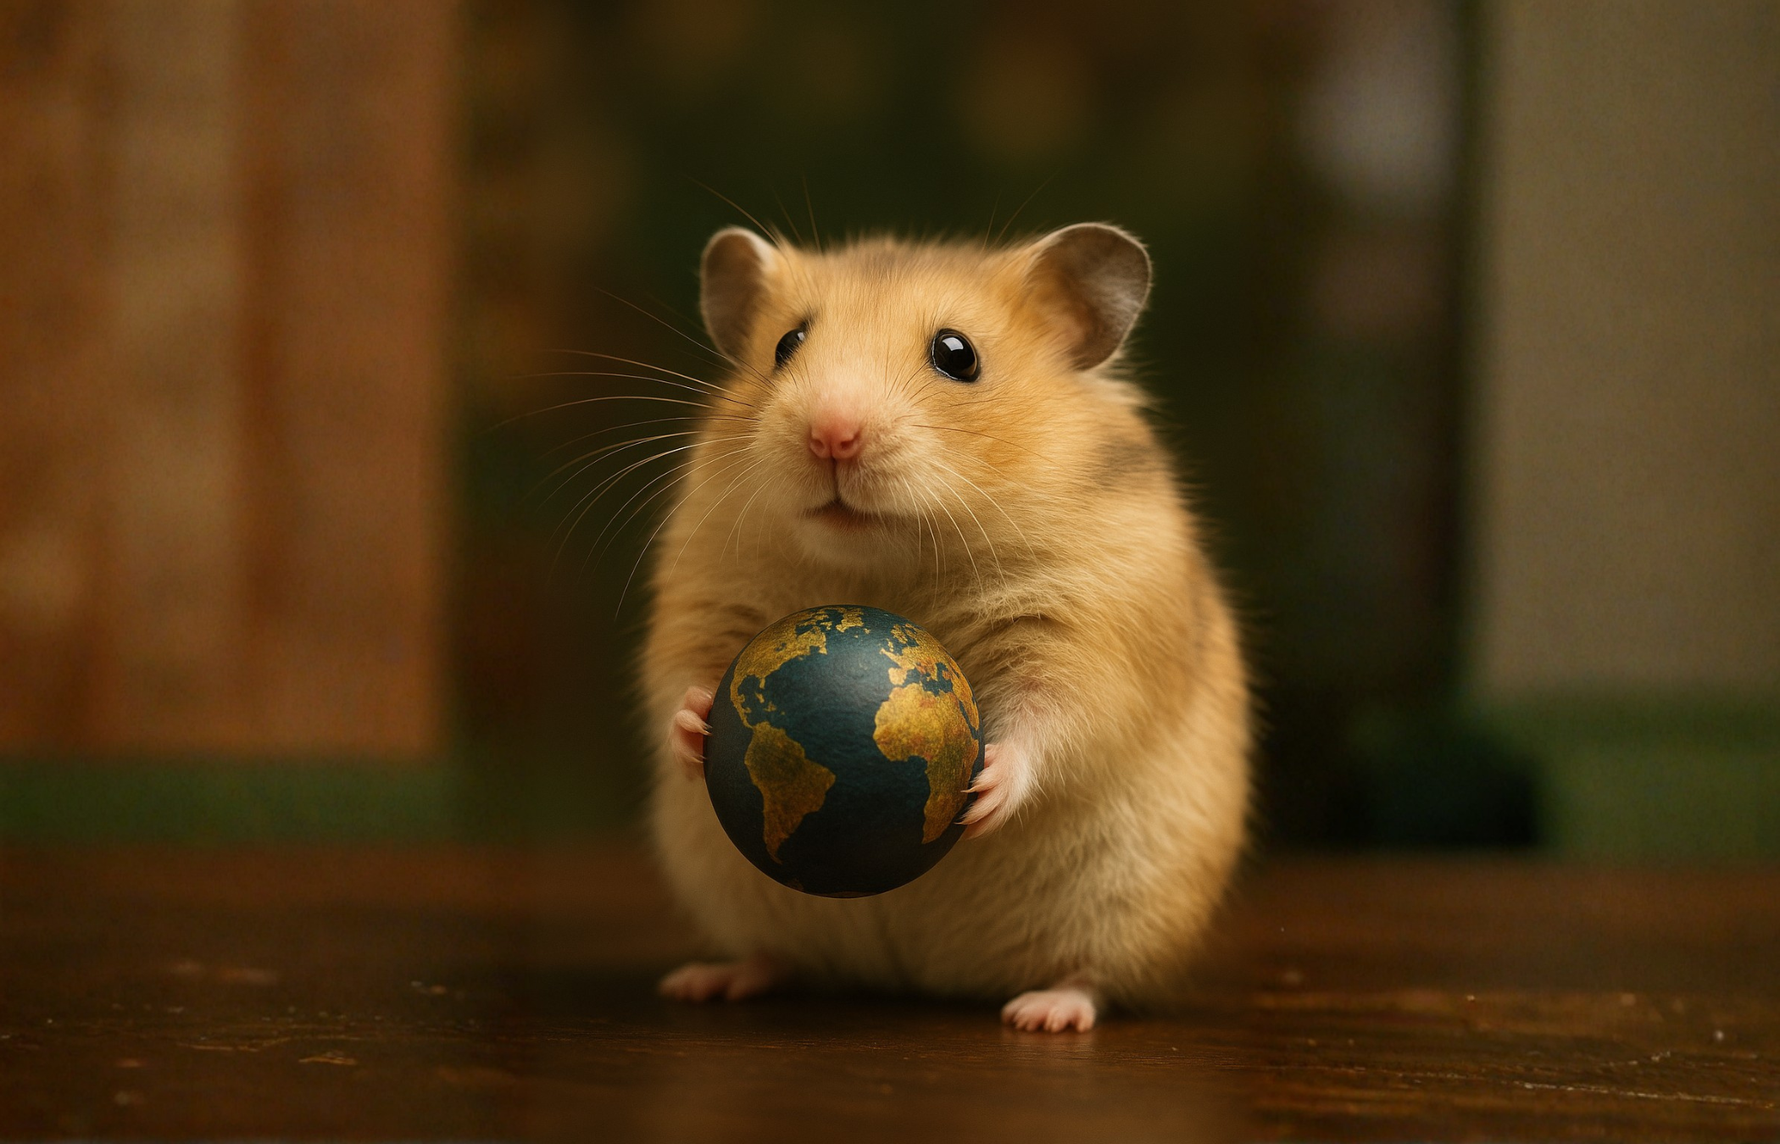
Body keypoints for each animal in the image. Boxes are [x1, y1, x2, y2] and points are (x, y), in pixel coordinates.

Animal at [641, 222, 1250, 1032]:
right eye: (785, 344)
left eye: (958, 355)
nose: (831, 436)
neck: (884, 561)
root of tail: (917, 976)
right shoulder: (702, 593)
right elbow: (680, 674)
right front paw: (695, 726)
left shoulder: (1090, 626)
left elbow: (1051, 716)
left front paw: (984, 791)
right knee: (781, 956)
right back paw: (705, 982)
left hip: (1134, 910)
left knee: (1093, 975)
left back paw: (1045, 1013)